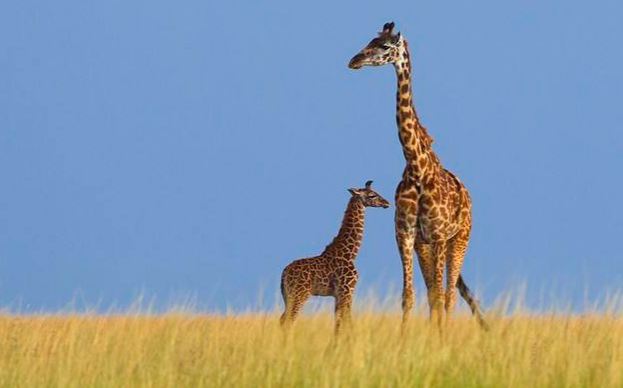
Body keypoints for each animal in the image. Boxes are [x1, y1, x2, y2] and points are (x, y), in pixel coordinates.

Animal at [282, 180, 390, 334]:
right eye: (372, 195)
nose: (387, 203)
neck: (350, 253)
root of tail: (284, 274)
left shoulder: (338, 294)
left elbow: (338, 323)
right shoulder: (347, 290)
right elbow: (347, 321)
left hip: (288, 296)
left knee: (283, 319)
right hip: (299, 294)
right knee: (290, 320)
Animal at [348, 22, 490, 330]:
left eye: (384, 46)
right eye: (370, 40)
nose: (354, 60)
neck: (417, 167)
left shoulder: (437, 235)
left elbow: (440, 294)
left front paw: (440, 339)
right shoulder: (406, 234)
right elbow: (410, 295)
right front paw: (406, 339)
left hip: (459, 238)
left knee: (449, 294)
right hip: (426, 245)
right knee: (434, 293)